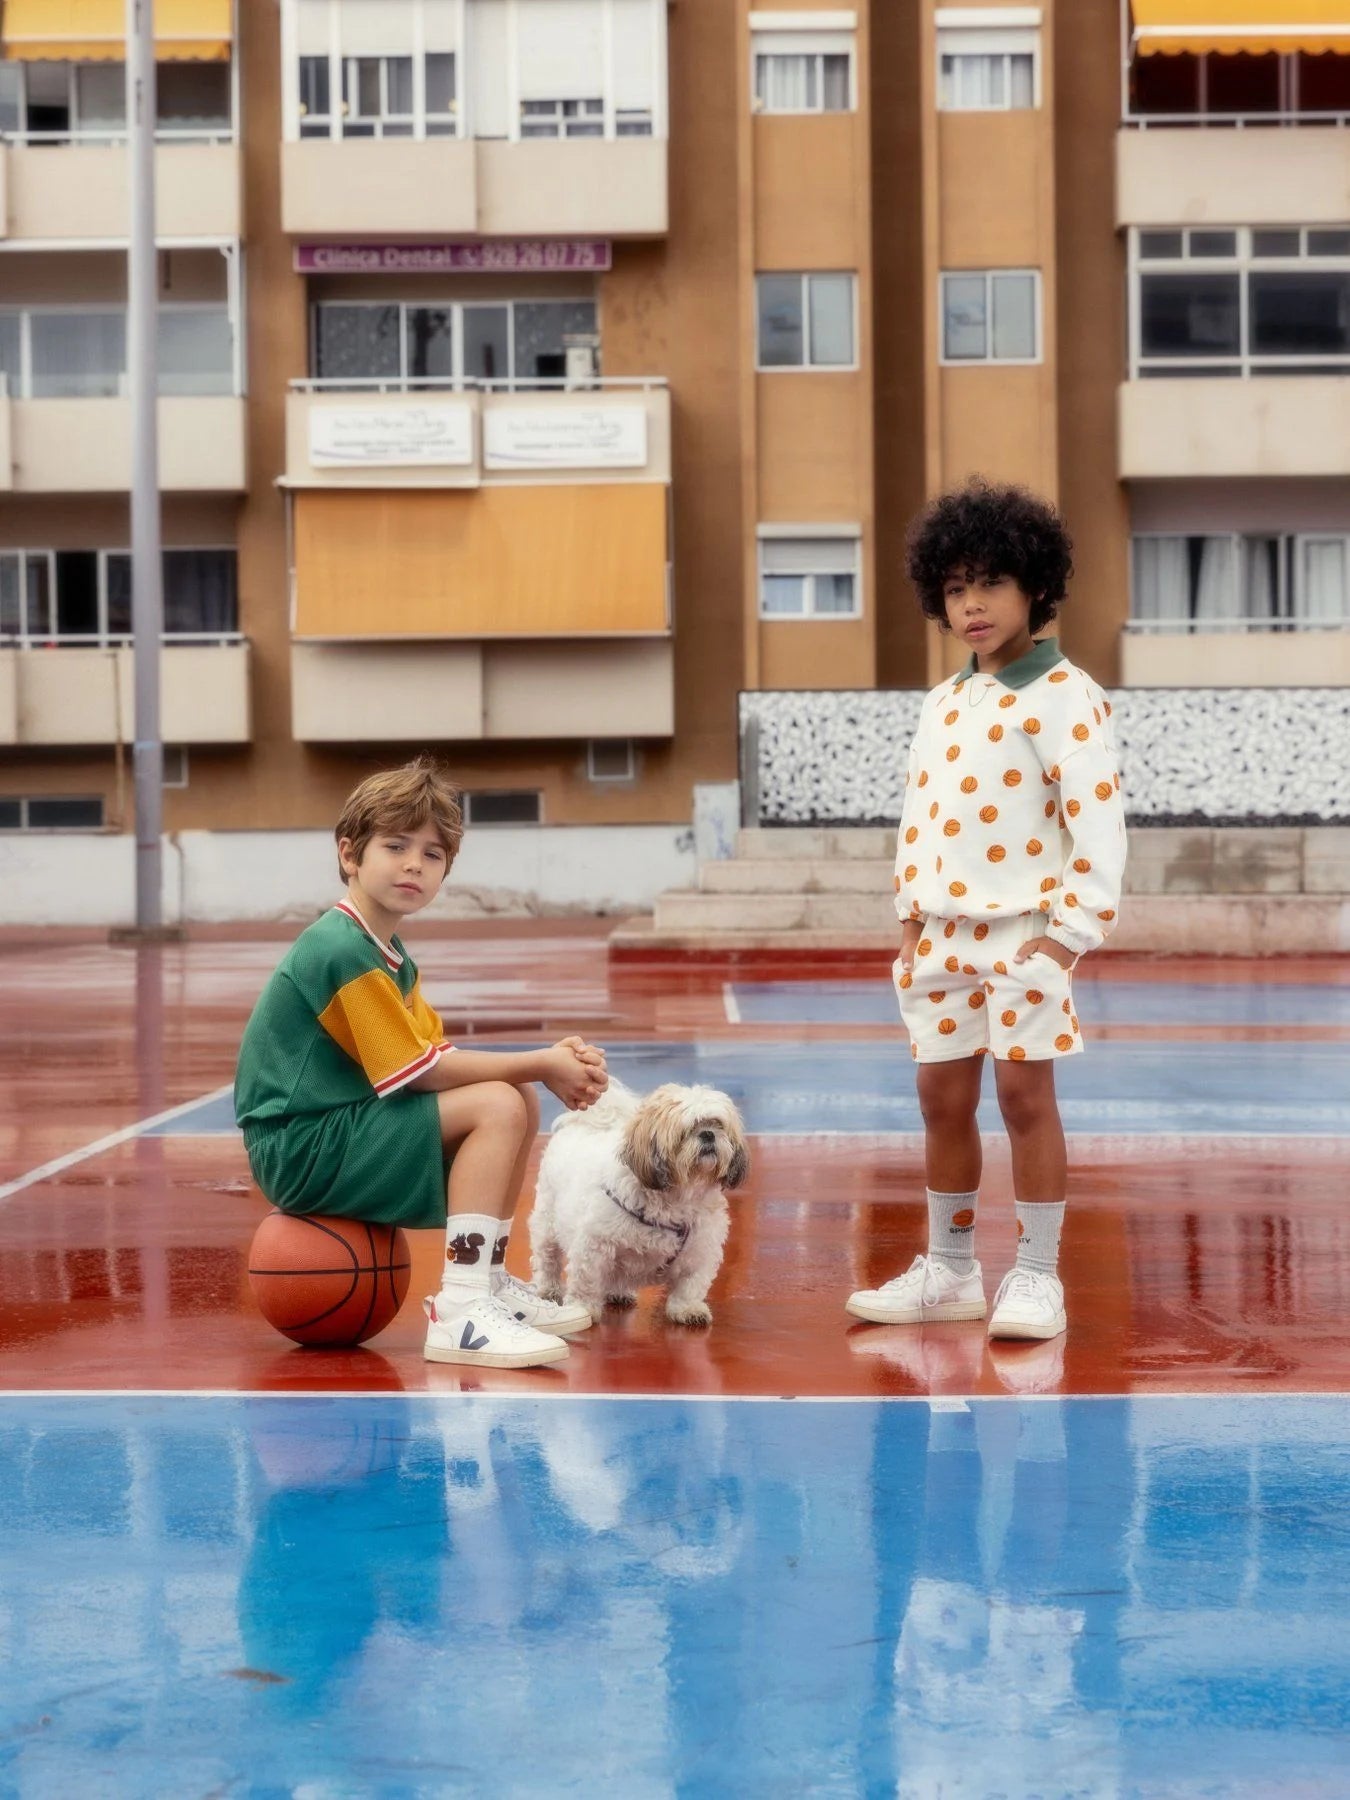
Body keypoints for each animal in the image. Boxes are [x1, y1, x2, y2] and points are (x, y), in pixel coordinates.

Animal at [532, 1072, 756, 1332]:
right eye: (686, 1130)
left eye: (717, 1124)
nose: (708, 1134)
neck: (679, 1196)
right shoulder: (594, 1247)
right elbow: (586, 1283)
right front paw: (583, 1308)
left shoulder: (699, 1250)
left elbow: (689, 1286)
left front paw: (688, 1309)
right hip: (546, 1225)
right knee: (548, 1260)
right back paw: (548, 1288)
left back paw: (619, 1292)